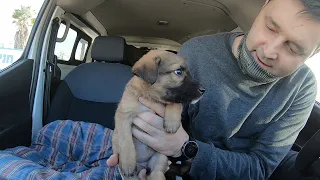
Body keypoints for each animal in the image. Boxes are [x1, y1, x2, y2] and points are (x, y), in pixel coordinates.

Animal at [112, 50, 205, 179]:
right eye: (178, 72)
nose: (203, 90)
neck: (150, 96)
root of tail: (143, 166)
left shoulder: (174, 98)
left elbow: (175, 102)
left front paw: (172, 123)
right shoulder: (123, 115)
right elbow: (126, 141)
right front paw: (127, 164)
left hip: (160, 157)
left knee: (157, 172)